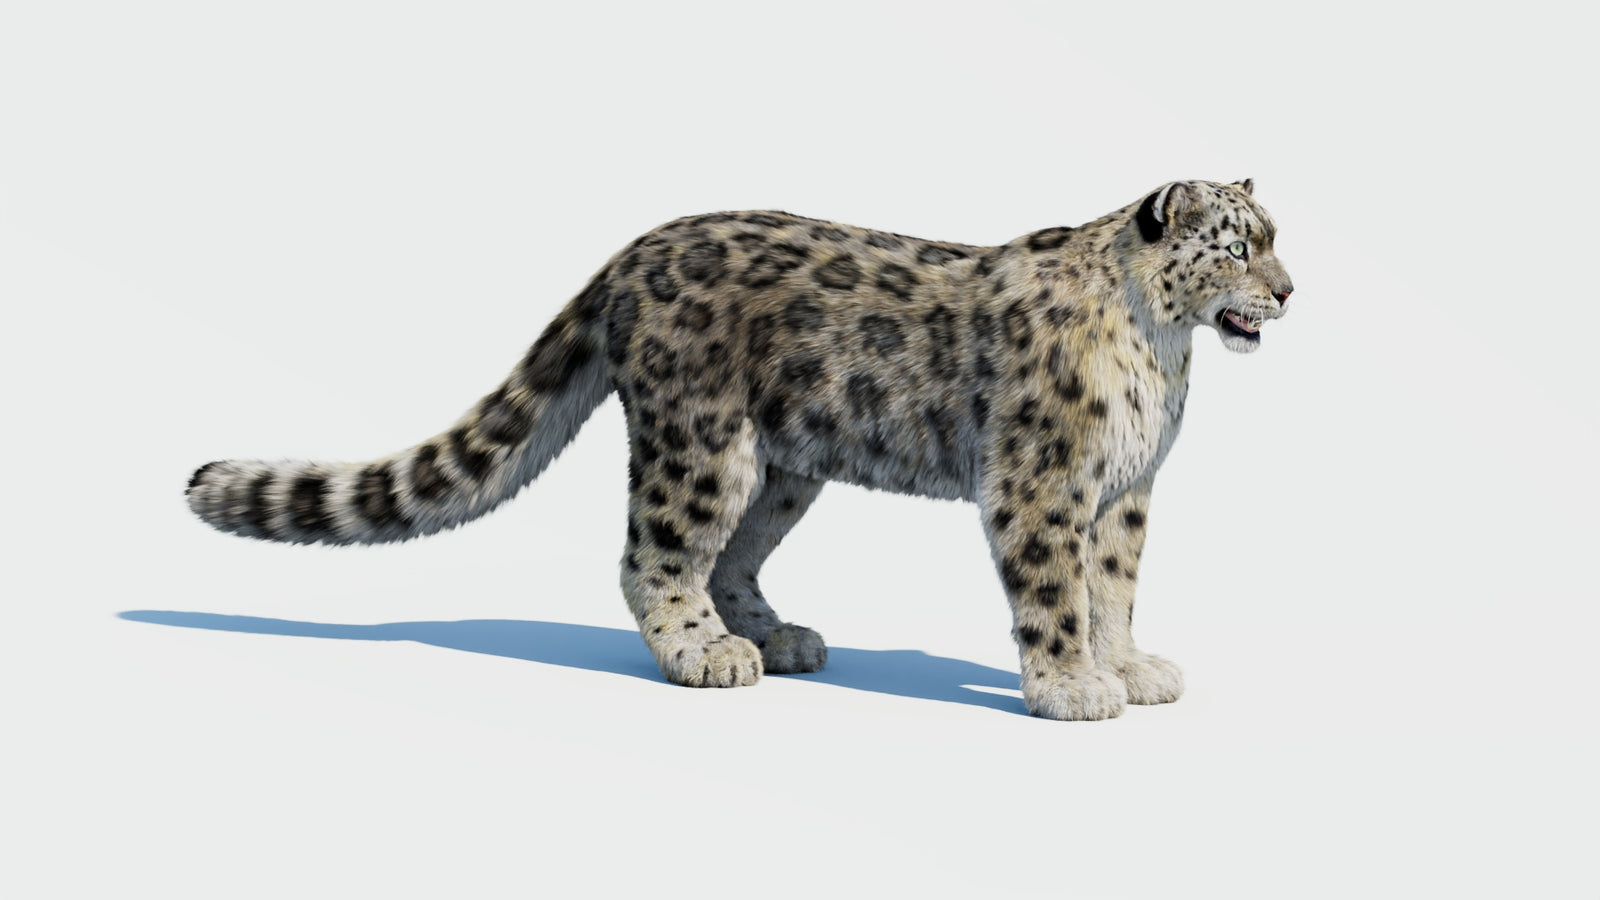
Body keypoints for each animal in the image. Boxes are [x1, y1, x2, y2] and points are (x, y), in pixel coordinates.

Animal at [186, 179, 1294, 721]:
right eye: (1238, 246)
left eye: (1277, 237)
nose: (1288, 292)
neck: (1162, 348)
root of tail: (628, 255)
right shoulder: (1043, 479)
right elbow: (1056, 591)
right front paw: (1071, 687)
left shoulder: (1126, 489)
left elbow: (1113, 585)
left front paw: (1129, 665)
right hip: (703, 442)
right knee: (657, 552)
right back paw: (703, 655)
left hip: (784, 467)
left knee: (732, 557)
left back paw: (773, 637)